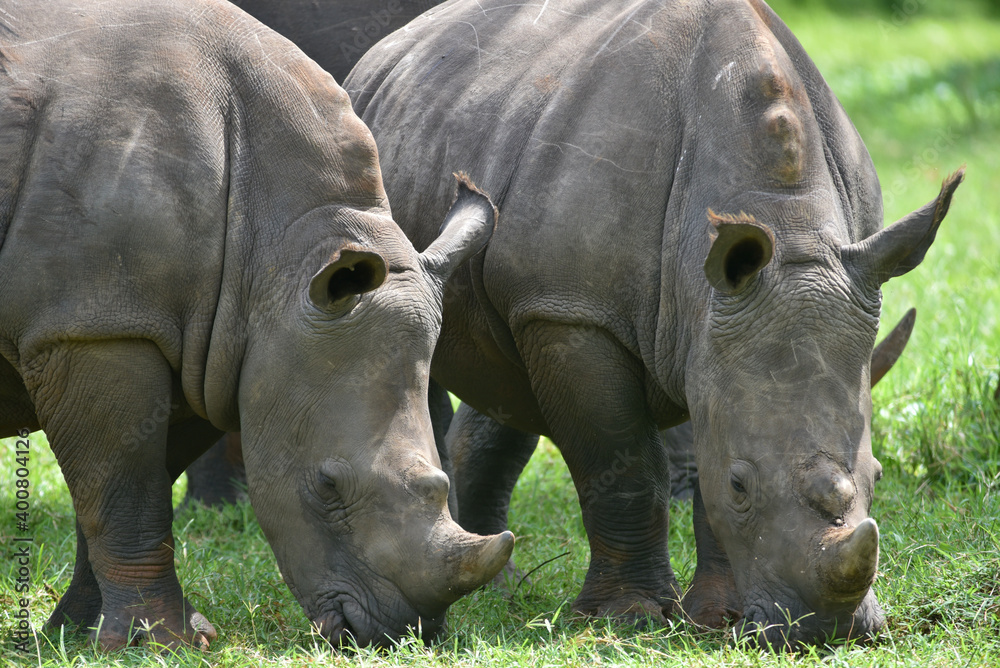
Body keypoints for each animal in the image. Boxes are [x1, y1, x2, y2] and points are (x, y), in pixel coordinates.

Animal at [0, 0, 512, 650]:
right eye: (326, 487)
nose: (399, 634)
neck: (275, 255)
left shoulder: (206, 344)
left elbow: (135, 484)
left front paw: (78, 635)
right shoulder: (93, 327)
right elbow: (125, 493)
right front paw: (161, 642)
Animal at [344, 0, 964, 646]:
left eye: (878, 476)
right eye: (742, 485)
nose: (828, 631)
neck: (788, 225)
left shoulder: (710, 319)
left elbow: (705, 449)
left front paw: (717, 620)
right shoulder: (571, 311)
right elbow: (624, 466)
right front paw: (627, 618)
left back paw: (501, 587)